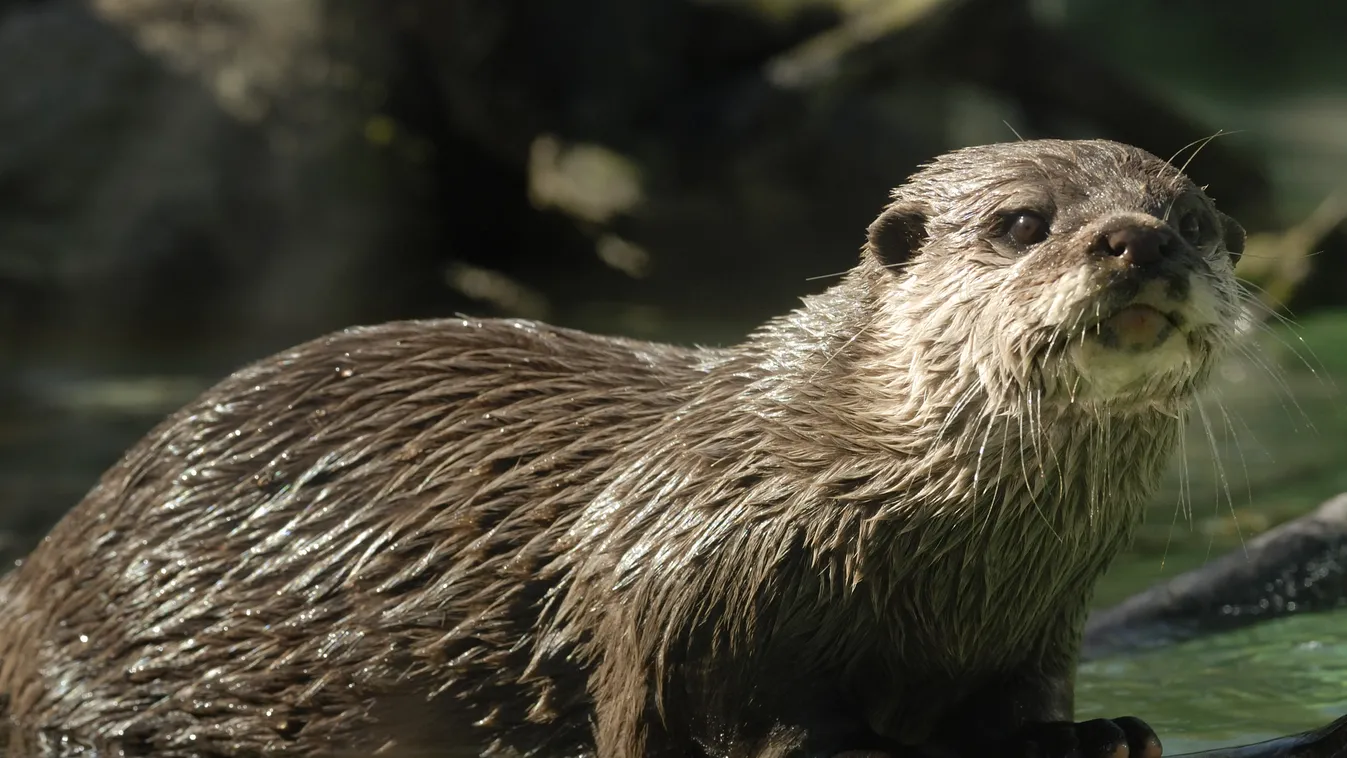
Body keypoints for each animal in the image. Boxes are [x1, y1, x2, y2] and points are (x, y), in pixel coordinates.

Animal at [0, 138, 1244, 758]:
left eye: (1189, 219)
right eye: (1022, 222)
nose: (1136, 242)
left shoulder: (1033, 617)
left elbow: (1018, 701)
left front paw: (1088, 734)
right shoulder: (697, 583)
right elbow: (746, 717)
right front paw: (862, 746)